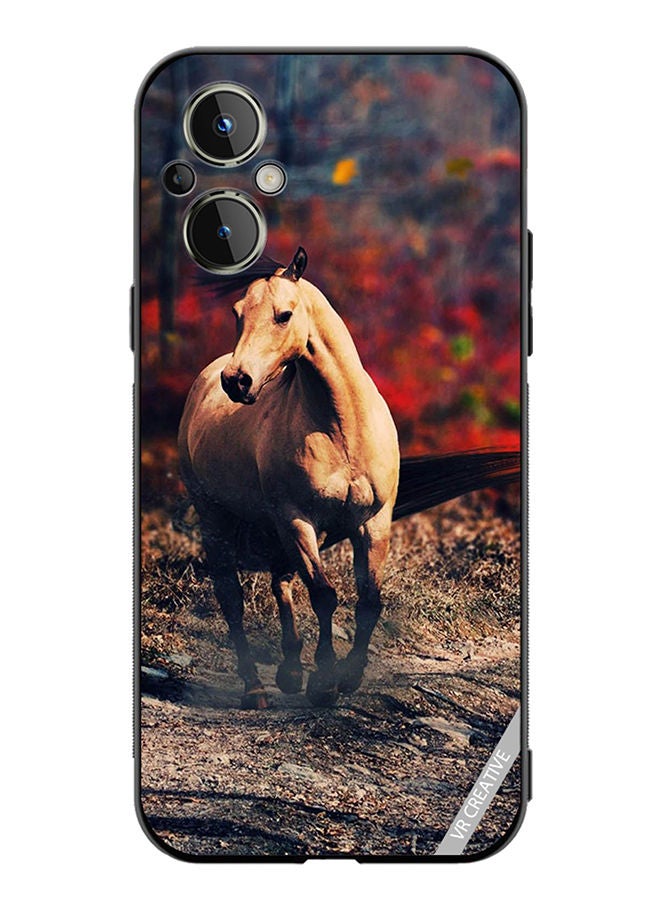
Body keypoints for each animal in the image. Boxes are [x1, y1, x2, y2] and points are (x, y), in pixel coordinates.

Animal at [178, 247, 400, 709]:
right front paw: (325, 682)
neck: (342, 426)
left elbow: (369, 600)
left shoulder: (374, 521)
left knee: (281, 580)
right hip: (217, 517)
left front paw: (348, 677)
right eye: (238, 313)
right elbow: (324, 595)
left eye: (284, 315)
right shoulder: (299, 519)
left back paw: (290, 671)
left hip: (274, 524)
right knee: (232, 597)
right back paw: (255, 688)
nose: (236, 380)